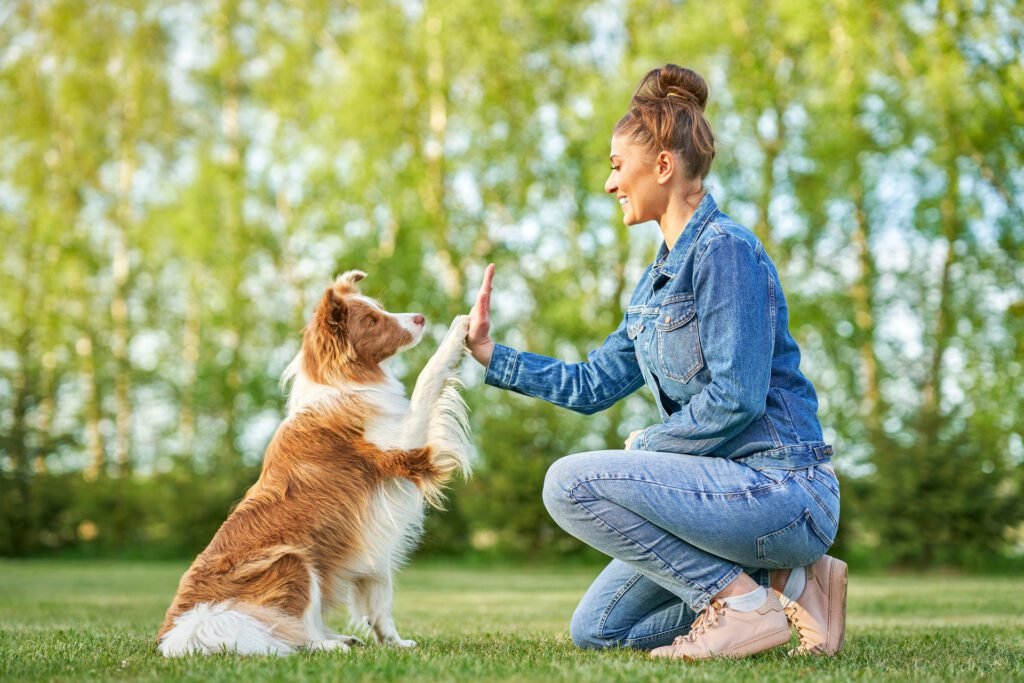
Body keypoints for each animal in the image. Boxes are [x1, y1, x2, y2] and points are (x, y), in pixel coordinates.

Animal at [157, 268, 473, 655]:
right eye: (372, 320)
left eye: (380, 308)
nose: (420, 318)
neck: (343, 385)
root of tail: (182, 628)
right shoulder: (406, 447)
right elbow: (428, 378)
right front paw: (459, 330)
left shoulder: (375, 546)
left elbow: (380, 601)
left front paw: (395, 643)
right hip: (293, 562)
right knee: (294, 635)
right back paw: (329, 645)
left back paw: (341, 637)